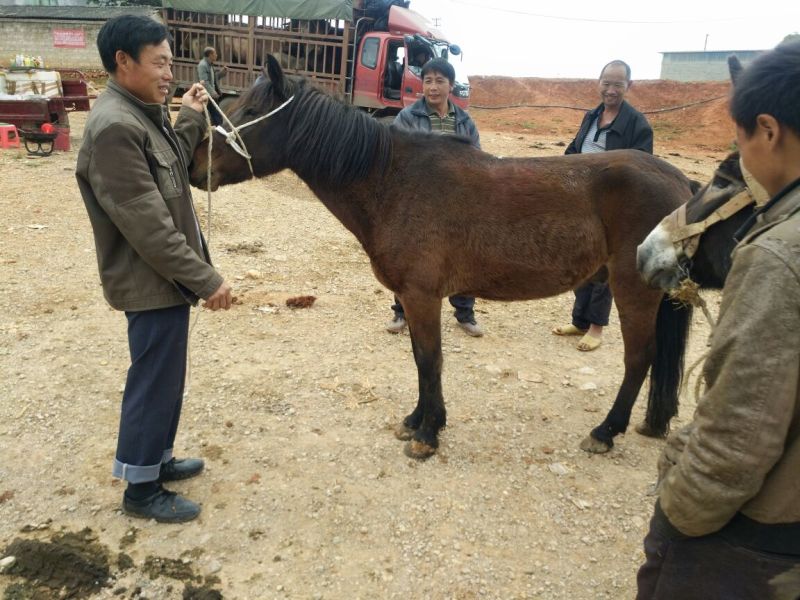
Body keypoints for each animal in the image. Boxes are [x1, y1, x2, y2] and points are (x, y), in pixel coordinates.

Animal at [189, 55, 697, 459]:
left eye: (250, 111)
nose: (196, 167)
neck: (392, 180)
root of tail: (681, 183)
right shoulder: (415, 299)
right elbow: (419, 358)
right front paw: (417, 421)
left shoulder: (421, 295)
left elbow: (429, 361)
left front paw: (428, 435)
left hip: (633, 291)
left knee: (640, 358)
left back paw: (605, 431)